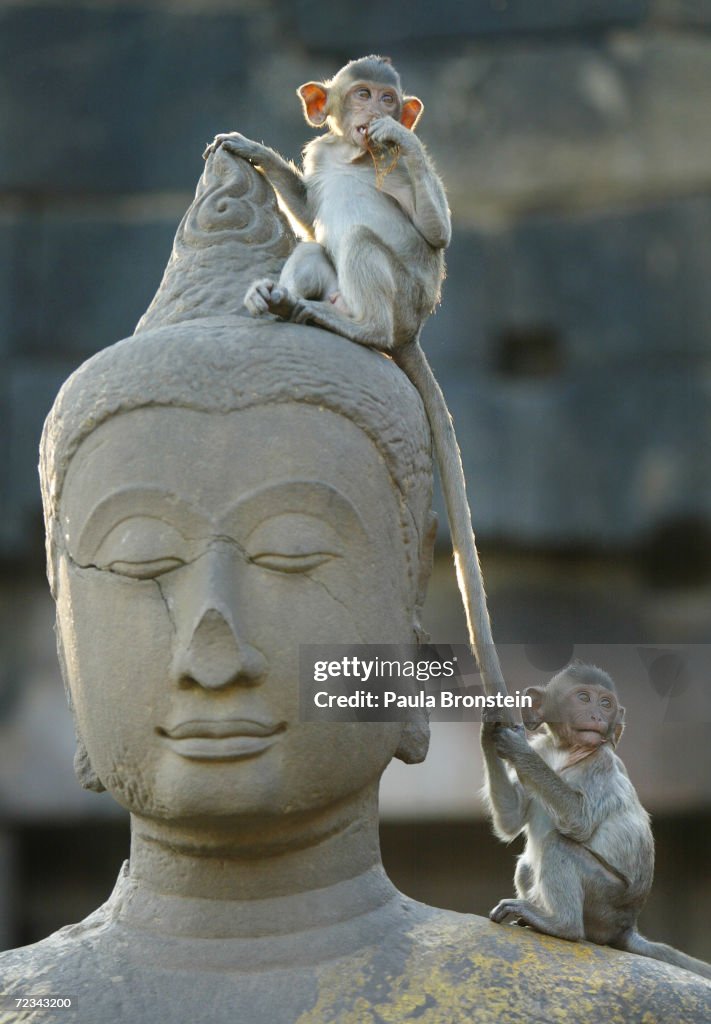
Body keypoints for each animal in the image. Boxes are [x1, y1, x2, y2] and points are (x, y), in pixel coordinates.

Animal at [204, 56, 512, 720]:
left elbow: (436, 233)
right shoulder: (323, 153)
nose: (377, 115)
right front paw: (252, 153)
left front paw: (402, 141)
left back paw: (355, 327)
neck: (351, 157)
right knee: (316, 249)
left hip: (403, 299)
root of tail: (412, 329)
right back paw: (277, 301)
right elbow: (306, 204)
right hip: (343, 288)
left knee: (363, 248)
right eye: (362, 93)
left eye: (390, 99)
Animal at [485, 663, 711, 983]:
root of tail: (626, 926)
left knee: (558, 846)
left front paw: (517, 749)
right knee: (528, 867)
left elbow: (578, 821)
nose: (597, 716)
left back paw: (560, 925)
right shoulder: (546, 749)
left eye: (605, 703)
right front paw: (488, 727)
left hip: (606, 901)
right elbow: (510, 820)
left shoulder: (599, 762)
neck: (565, 750)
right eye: (583, 698)